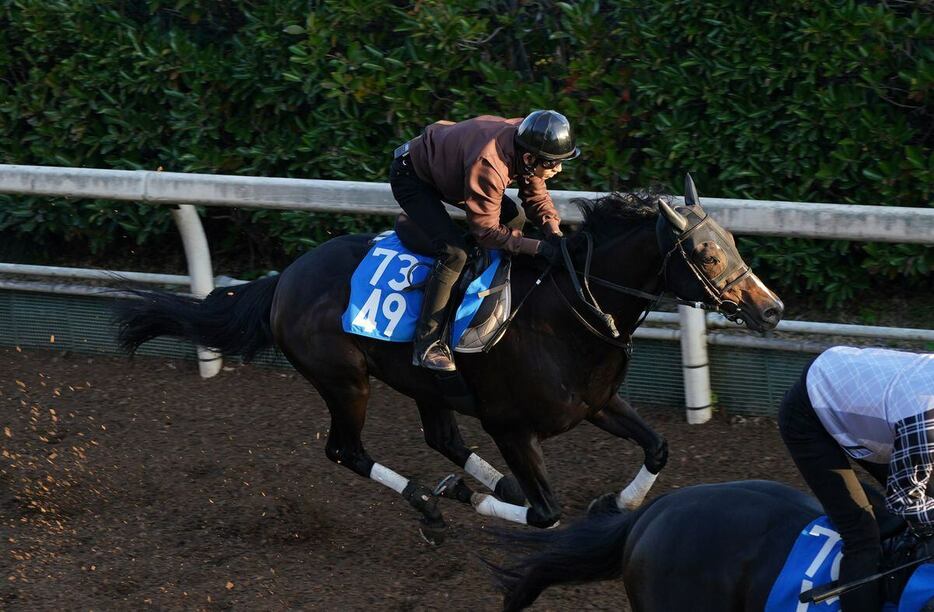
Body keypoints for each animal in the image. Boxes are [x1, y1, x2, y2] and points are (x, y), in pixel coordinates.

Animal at [120, 173, 788, 536]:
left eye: (732, 240)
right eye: (705, 253)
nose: (772, 308)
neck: (569, 309)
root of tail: (284, 278)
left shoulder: (596, 402)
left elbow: (658, 446)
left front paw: (614, 502)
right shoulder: (511, 426)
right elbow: (546, 513)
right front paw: (466, 497)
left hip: (423, 381)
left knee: (441, 436)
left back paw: (476, 486)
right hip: (345, 380)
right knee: (346, 450)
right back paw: (430, 499)